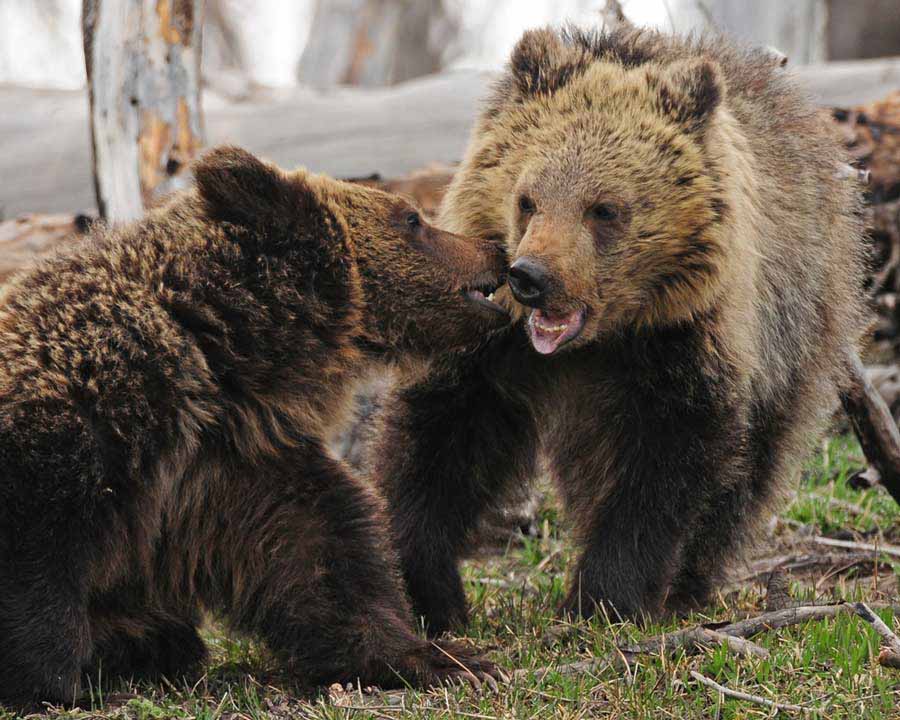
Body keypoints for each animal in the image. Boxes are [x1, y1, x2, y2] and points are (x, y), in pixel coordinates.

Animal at [0, 143, 510, 704]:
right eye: (412, 219)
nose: (497, 250)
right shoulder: (78, 423)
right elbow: (36, 560)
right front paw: (57, 682)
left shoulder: (231, 462)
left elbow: (320, 555)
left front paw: (447, 659)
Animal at [372, 25, 872, 632]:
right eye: (527, 199)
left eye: (604, 209)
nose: (530, 276)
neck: (601, 341)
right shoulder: (491, 343)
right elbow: (443, 438)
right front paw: (428, 590)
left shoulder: (683, 343)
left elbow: (662, 465)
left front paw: (604, 598)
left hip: (796, 327)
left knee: (752, 469)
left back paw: (690, 583)